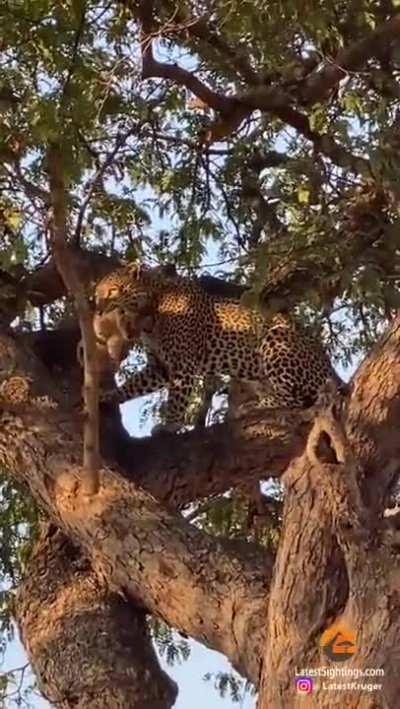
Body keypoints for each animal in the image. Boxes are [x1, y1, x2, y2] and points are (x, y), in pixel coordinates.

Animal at [93, 262, 343, 433]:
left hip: (276, 339)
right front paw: (109, 396)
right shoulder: (159, 366)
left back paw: (252, 408)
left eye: (112, 291)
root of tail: (330, 370)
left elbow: (176, 398)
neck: (148, 307)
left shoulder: (182, 365)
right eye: (97, 293)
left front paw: (170, 425)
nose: (96, 306)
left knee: (297, 399)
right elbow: (135, 384)